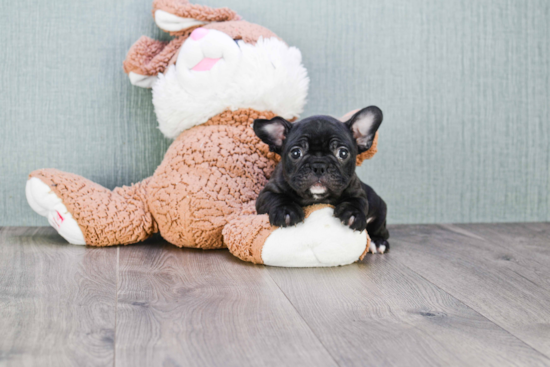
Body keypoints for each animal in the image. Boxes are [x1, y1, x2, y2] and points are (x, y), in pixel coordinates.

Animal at [256, 106, 392, 253]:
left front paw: (352, 214)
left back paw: (377, 241)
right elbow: (277, 198)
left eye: (343, 153)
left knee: (381, 230)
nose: (319, 166)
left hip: (379, 210)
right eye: (296, 153)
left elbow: (356, 202)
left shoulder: (358, 192)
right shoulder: (266, 193)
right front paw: (286, 211)